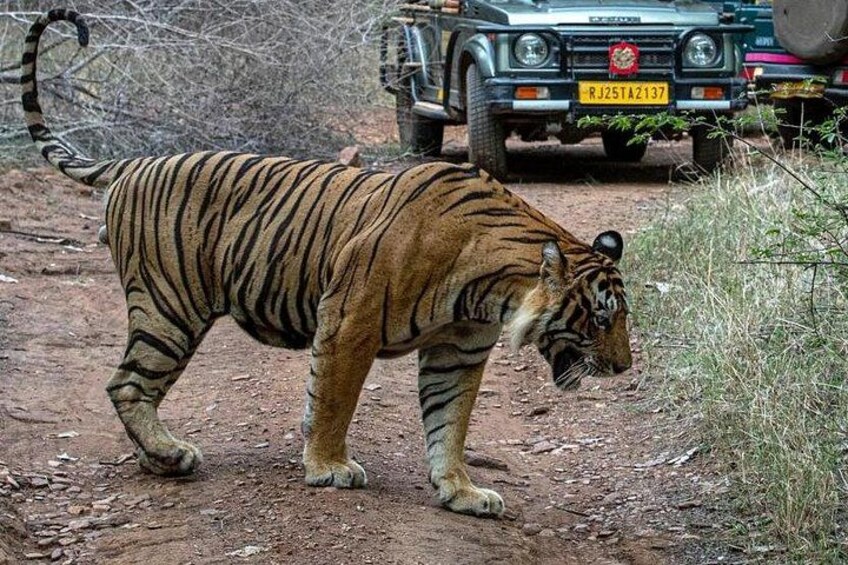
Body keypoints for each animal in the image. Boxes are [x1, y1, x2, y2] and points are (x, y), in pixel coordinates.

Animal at [21, 9, 632, 518]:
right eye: (601, 318)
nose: (624, 368)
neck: (492, 292)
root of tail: (134, 162)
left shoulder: (457, 352)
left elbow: (449, 423)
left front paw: (461, 490)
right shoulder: (348, 322)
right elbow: (335, 399)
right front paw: (329, 466)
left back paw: (158, 459)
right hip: (169, 306)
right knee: (126, 384)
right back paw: (171, 455)